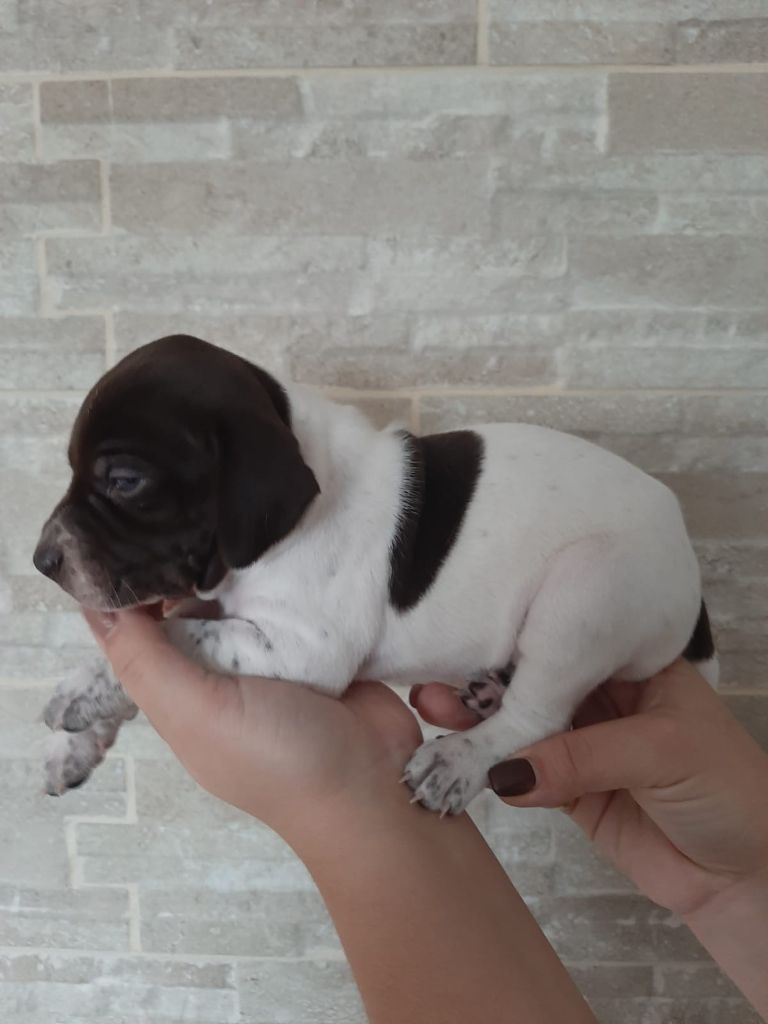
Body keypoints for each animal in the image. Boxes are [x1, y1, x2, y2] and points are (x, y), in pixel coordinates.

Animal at [34, 335, 717, 812]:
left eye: (125, 481)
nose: (41, 561)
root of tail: (688, 560)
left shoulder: (305, 649)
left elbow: (175, 635)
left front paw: (84, 687)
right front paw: (79, 741)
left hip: (587, 589)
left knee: (540, 715)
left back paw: (461, 760)